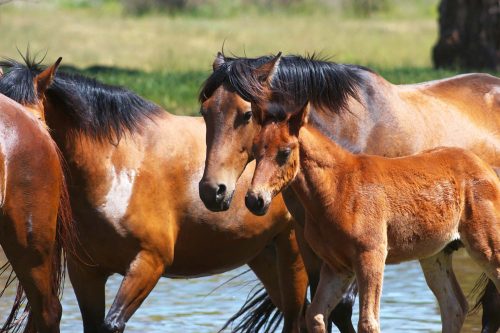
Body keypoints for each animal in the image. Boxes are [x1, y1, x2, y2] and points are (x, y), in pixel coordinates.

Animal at [247, 100, 500, 332]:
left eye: (284, 152)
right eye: (255, 149)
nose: (254, 199)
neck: (337, 188)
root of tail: (488, 169)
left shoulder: (371, 255)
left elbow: (368, 322)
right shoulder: (337, 266)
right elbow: (316, 316)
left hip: (486, 246)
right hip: (434, 254)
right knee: (454, 306)